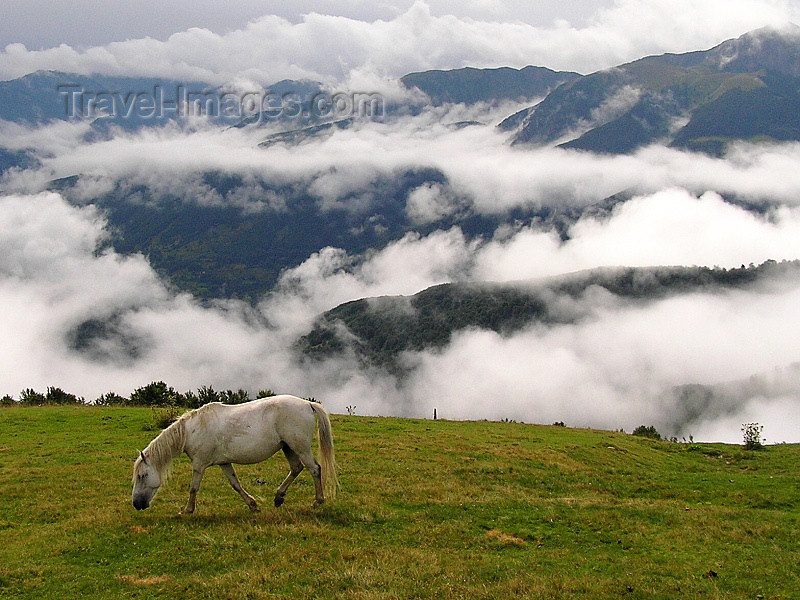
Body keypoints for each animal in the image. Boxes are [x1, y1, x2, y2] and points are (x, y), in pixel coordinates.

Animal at [130, 396, 336, 512]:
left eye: (142, 475)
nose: (137, 504)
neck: (191, 431)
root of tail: (308, 404)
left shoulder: (199, 464)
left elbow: (193, 487)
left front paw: (187, 510)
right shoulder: (224, 463)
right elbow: (235, 484)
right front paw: (252, 505)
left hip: (300, 447)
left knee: (314, 469)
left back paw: (317, 501)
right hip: (288, 447)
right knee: (296, 468)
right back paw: (278, 498)